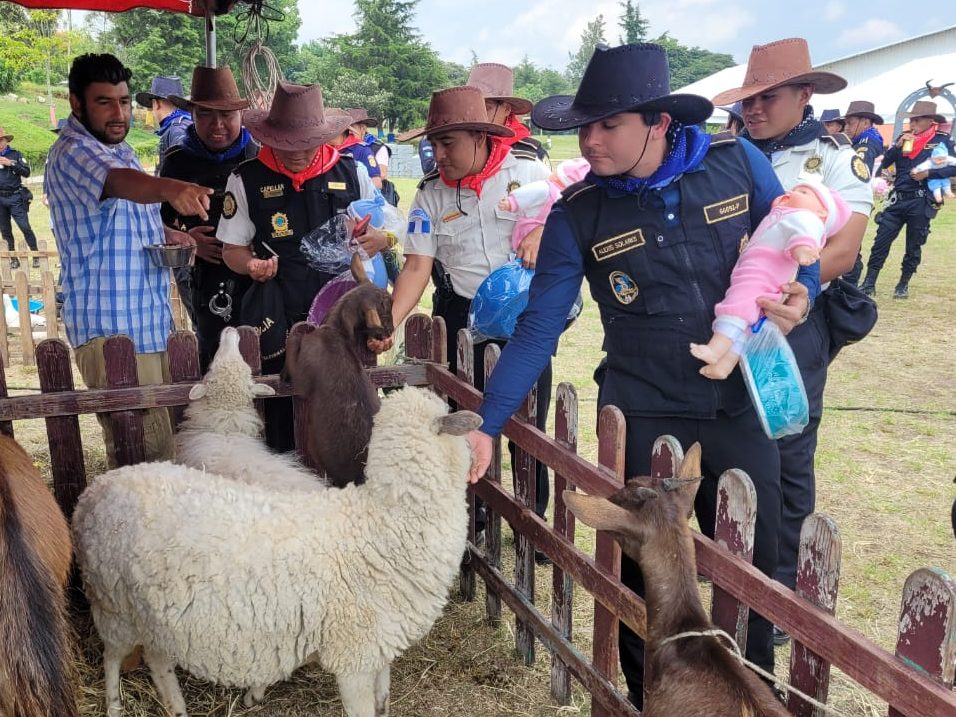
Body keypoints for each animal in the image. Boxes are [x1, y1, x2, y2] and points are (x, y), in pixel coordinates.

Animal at [71, 386, 482, 716]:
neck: (385, 524)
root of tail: (94, 491)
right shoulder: (352, 656)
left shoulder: (377, 647)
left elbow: (383, 698)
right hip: (113, 605)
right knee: (111, 658)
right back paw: (114, 704)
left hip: (155, 618)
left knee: (157, 661)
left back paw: (176, 707)